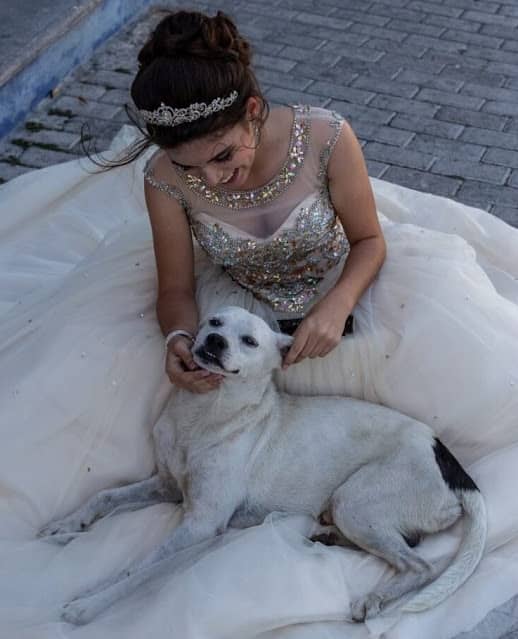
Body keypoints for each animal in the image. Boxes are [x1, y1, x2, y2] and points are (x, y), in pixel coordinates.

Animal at [39, 305, 487, 625]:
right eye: (214, 321)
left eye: (250, 341)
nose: (214, 340)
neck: (203, 414)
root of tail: (455, 468)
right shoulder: (166, 485)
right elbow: (104, 495)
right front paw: (67, 524)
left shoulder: (201, 524)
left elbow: (136, 571)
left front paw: (89, 604)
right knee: (406, 545)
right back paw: (329, 537)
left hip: (355, 501)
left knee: (420, 564)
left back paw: (372, 597)